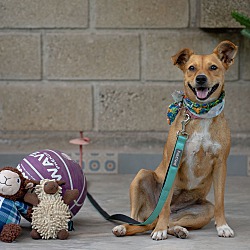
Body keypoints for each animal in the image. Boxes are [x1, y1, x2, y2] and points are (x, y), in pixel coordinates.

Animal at [112, 40, 237, 239]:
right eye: (191, 68)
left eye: (213, 67)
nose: (201, 79)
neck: (201, 115)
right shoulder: (175, 163)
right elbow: (164, 206)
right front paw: (160, 231)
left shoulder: (220, 165)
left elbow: (220, 201)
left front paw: (223, 226)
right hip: (141, 176)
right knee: (141, 219)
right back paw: (130, 227)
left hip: (203, 210)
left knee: (167, 222)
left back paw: (177, 229)